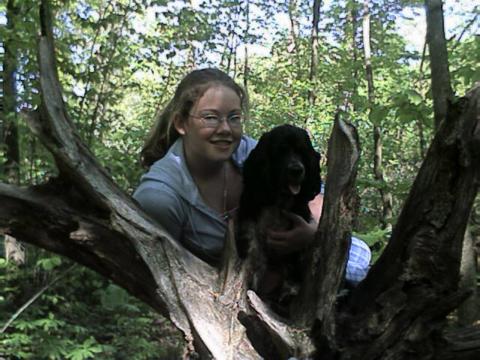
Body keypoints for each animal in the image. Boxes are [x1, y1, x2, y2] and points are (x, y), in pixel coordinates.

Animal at [238, 124, 320, 310]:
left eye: (302, 151)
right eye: (281, 151)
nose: (297, 170)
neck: (280, 199)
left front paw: (291, 289)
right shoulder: (249, 213)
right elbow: (253, 246)